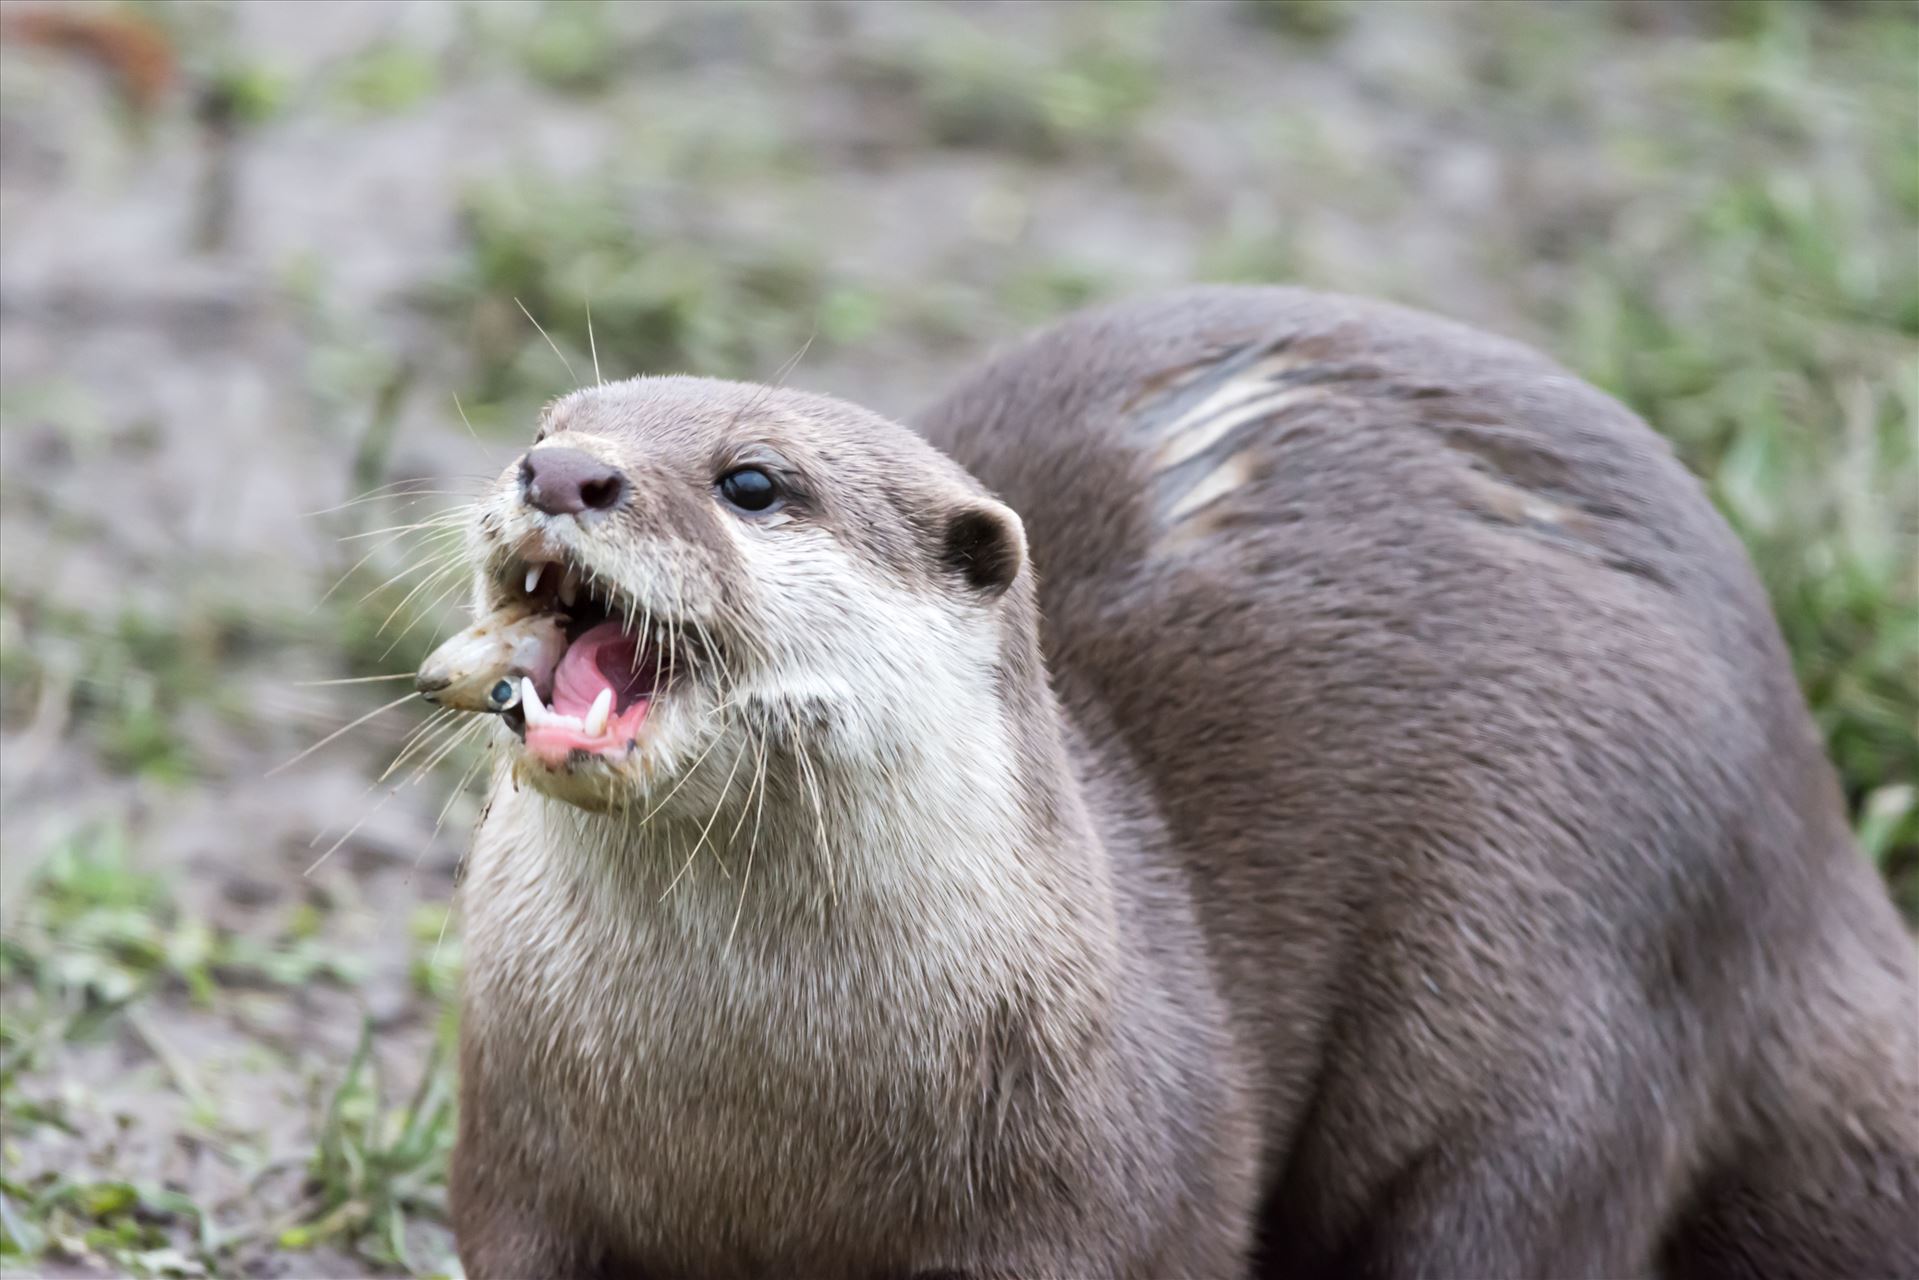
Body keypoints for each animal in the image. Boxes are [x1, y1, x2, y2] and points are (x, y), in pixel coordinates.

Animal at [441, 285, 1911, 1274]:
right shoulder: (517, 1163)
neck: (748, 1118)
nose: (560, 470)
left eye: (751, 481)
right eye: (545, 423)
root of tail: (1808, 843)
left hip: (1579, 993)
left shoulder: (1093, 1203)